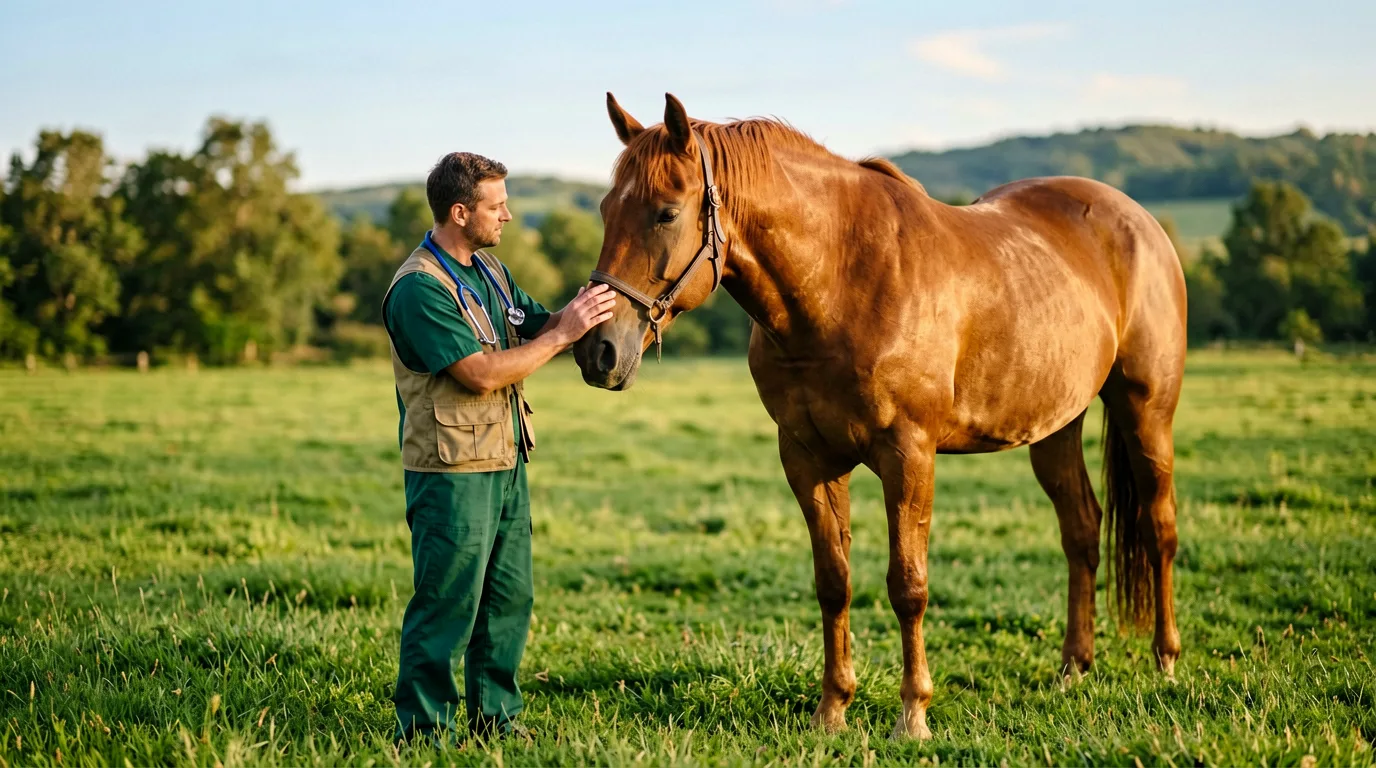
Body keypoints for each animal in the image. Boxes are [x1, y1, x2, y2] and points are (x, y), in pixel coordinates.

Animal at [572, 92, 1186, 740]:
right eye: (607, 208)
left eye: (665, 213)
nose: (598, 352)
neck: (842, 279)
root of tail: (1139, 223)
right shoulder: (808, 458)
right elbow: (833, 581)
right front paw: (832, 709)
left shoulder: (908, 456)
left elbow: (907, 585)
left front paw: (912, 714)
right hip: (1055, 426)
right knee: (1082, 531)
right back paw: (1074, 668)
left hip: (1147, 412)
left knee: (1159, 528)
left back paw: (1165, 661)